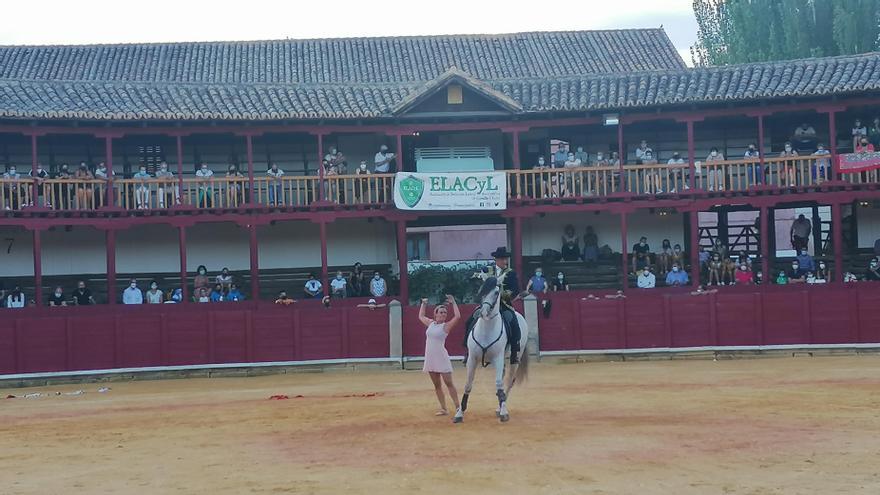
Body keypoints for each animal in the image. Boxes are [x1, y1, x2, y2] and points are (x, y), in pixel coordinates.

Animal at [454, 278, 528, 424]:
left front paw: (504, 412)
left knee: (509, 380)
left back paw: (501, 407)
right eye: (481, 289)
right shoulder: (472, 358)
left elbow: (499, 383)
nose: (483, 312)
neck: (486, 330)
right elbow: (468, 383)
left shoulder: (498, 358)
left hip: (516, 357)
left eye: (496, 292)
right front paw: (459, 413)